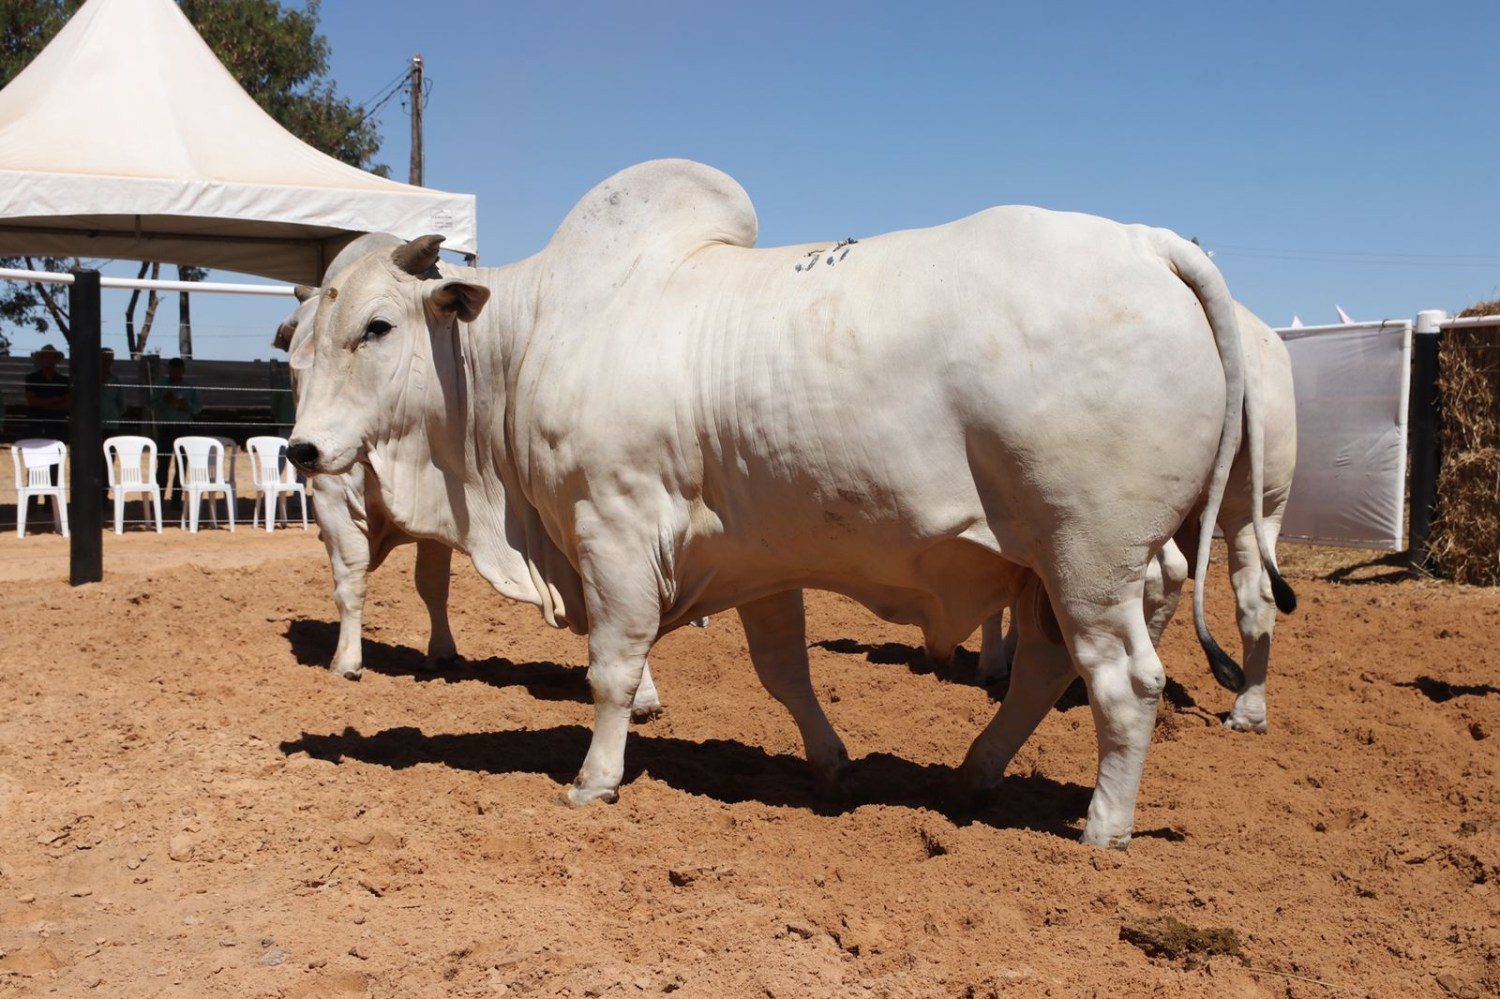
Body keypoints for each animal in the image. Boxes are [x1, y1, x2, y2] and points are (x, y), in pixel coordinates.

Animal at [283, 159, 1290, 846]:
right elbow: (785, 673)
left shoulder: (612, 529)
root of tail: (1145, 240)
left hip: (1090, 554)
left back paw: (1102, 825)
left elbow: (612, 672)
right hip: (1052, 566)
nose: (302, 449)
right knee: (1047, 669)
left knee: (1124, 680)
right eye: (305, 339)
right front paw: (832, 766)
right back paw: (971, 778)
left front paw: (594, 779)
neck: (533, 339)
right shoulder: (761, 562)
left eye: (377, 326)